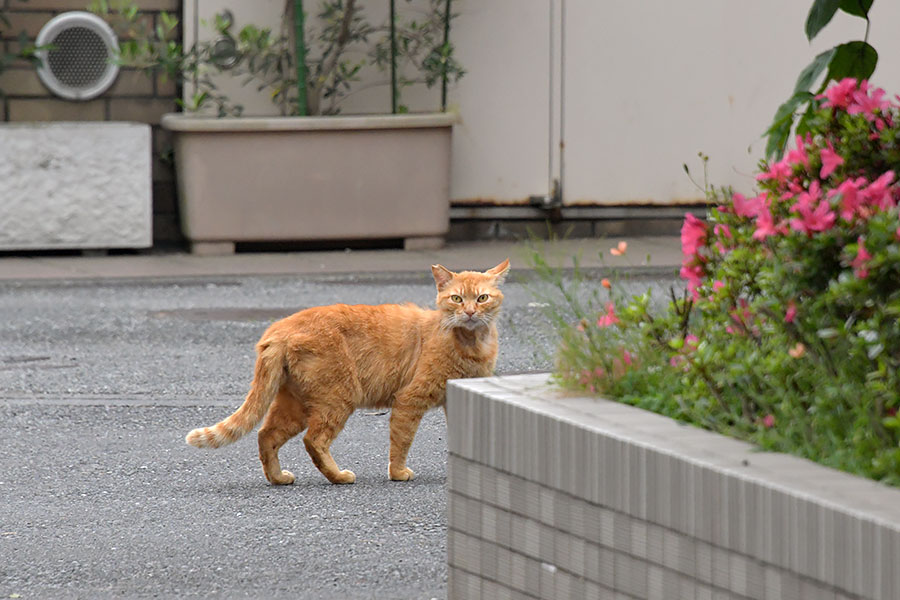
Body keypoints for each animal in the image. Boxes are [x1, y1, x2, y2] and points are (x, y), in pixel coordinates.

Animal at [185, 260, 506, 486]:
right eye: (456, 299)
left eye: (482, 298)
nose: (469, 313)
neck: (470, 343)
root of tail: (279, 328)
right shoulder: (409, 400)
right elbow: (401, 441)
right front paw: (398, 472)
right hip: (338, 399)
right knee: (313, 441)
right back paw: (338, 476)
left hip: (296, 404)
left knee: (266, 435)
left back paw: (278, 478)